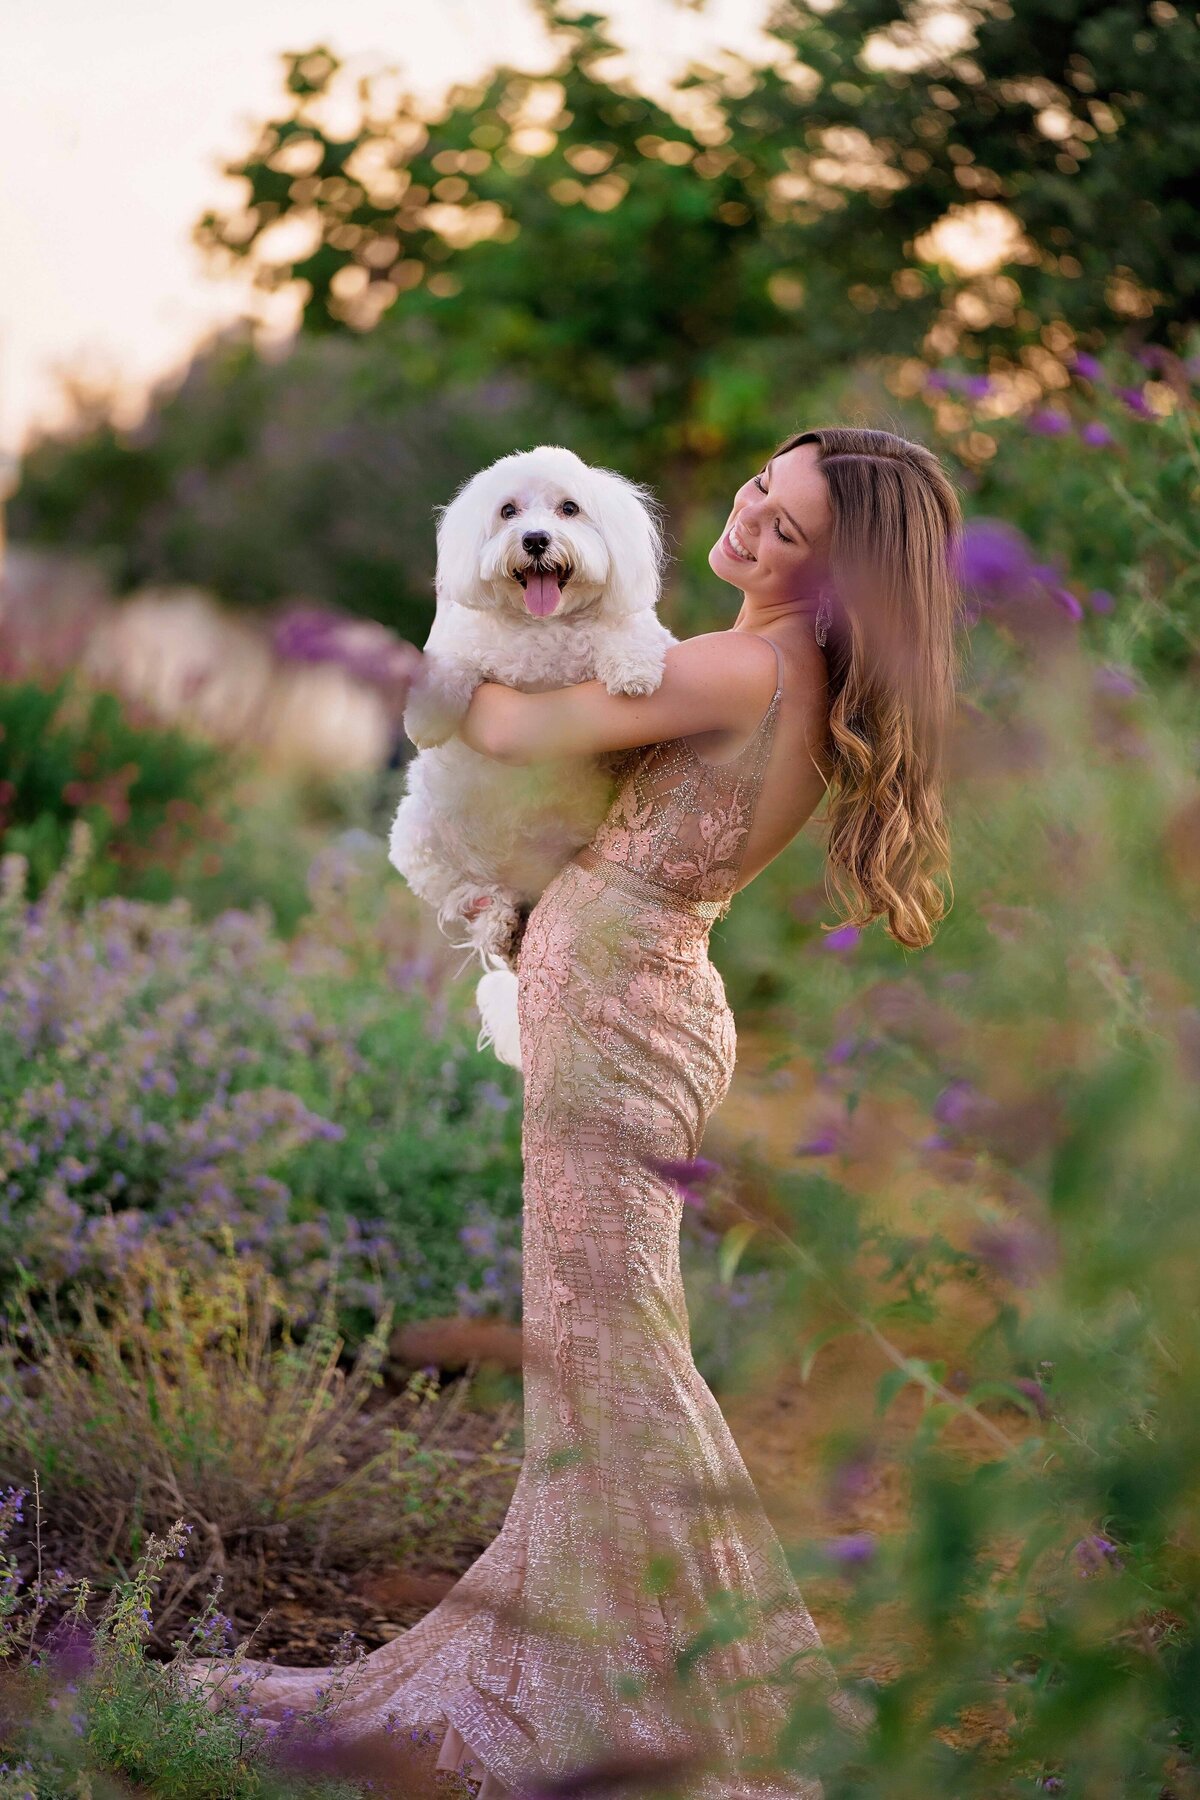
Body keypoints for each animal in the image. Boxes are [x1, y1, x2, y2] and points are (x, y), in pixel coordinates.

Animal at [394, 448, 676, 1058]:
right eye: (508, 511)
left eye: (570, 508)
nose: (536, 539)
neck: (543, 626)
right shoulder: (463, 640)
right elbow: (448, 663)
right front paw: (426, 719)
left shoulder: (632, 629)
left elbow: (631, 632)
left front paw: (635, 672)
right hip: (417, 839)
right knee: (466, 895)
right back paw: (496, 919)